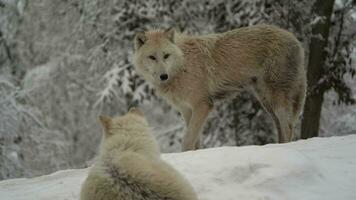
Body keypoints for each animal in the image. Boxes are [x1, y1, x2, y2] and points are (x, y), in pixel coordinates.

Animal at [132, 24, 308, 150]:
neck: (183, 65)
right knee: (281, 126)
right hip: (266, 102)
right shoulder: (187, 110)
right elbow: (196, 140)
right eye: (152, 57)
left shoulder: (203, 105)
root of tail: (294, 38)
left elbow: (187, 140)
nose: (163, 76)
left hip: (277, 98)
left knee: (289, 125)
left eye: (166, 56)